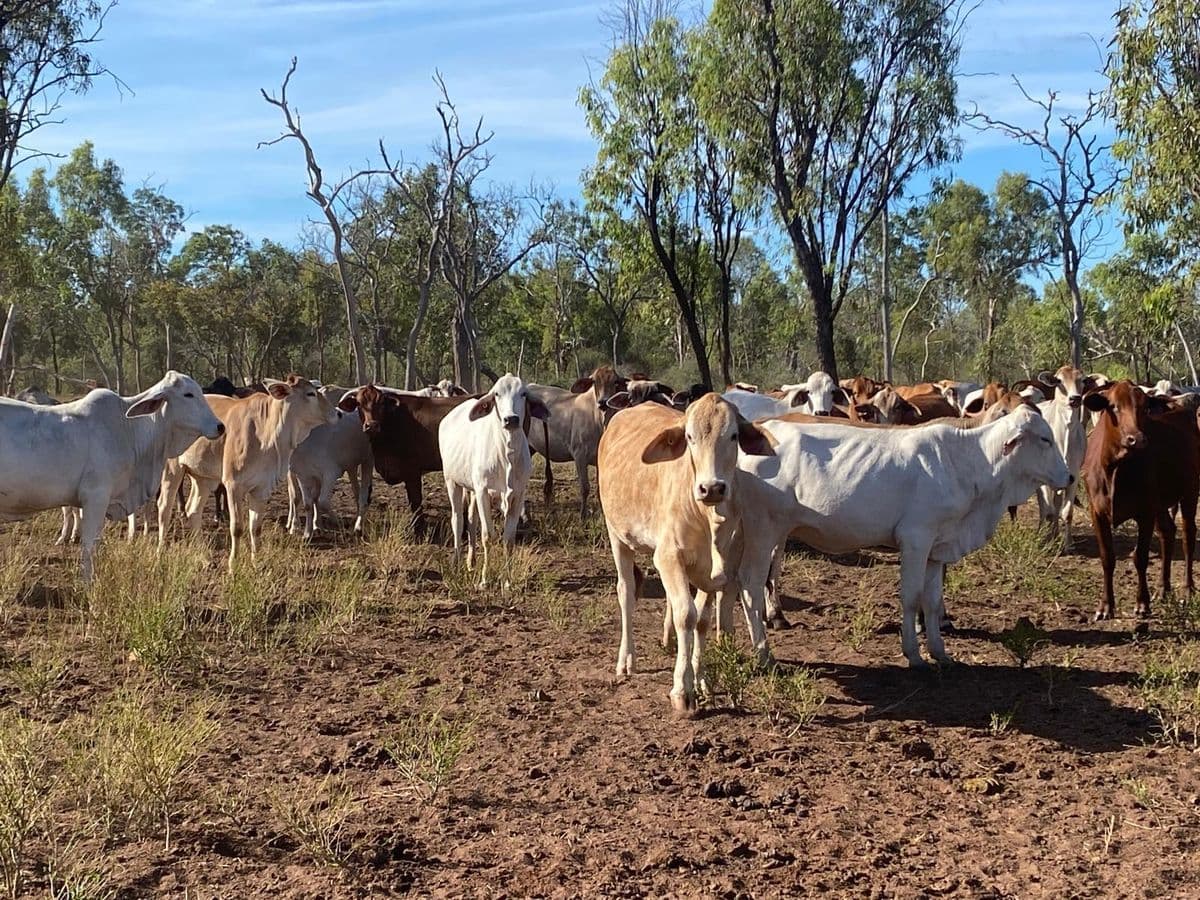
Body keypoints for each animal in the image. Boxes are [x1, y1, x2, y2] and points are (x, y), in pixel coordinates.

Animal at [0, 372, 223, 579]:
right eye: (188, 394)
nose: (220, 426)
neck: (129, 430)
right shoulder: (96, 496)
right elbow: (89, 544)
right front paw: (88, 582)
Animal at [526, 365, 629, 515]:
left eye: (615, 382)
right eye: (594, 381)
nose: (602, 402)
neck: (599, 421)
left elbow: (599, 488)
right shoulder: (579, 455)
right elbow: (585, 487)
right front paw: (583, 515)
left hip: (530, 447)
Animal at [598, 394, 777, 714]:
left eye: (734, 436)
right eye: (690, 437)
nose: (712, 488)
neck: (709, 519)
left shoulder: (715, 573)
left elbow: (702, 621)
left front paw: (702, 679)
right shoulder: (668, 556)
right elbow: (686, 616)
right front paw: (683, 690)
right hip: (616, 534)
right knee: (626, 591)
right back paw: (626, 660)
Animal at [734, 406, 1069, 667]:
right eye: (1044, 439)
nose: (1069, 476)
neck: (968, 463)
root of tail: (761, 427)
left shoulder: (938, 548)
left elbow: (932, 602)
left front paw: (940, 652)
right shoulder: (916, 539)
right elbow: (911, 598)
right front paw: (914, 654)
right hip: (763, 532)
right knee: (750, 586)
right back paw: (764, 654)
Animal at [1082, 382, 1200, 621]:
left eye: (1144, 408)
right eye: (1114, 406)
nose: (1137, 439)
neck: (1116, 469)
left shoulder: (1145, 512)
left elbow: (1141, 558)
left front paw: (1142, 603)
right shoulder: (1097, 512)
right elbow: (1107, 557)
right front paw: (1105, 606)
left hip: (1190, 492)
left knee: (1188, 536)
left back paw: (1187, 590)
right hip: (1161, 504)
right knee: (1167, 532)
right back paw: (1163, 589)